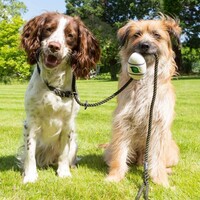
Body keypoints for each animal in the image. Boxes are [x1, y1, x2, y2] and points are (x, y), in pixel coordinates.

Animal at [18, 12, 99, 184]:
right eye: (49, 29)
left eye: (70, 35)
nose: (54, 46)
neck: (53, 85)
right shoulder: (31, 122)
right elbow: (30, 152)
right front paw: (30, 176)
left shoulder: (68, 124)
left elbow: (64, 153)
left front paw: (63, 172)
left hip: (74, 143)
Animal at [104, 16, 181, 188]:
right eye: (137, 34)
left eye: (157, 35)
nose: (144, 45)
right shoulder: (123, 122)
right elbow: (120, 154)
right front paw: (115, 177)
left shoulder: (158, 125)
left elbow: (157, 158)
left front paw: (161, 181)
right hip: (109, 149)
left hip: (171, 149)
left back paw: (167, 171)